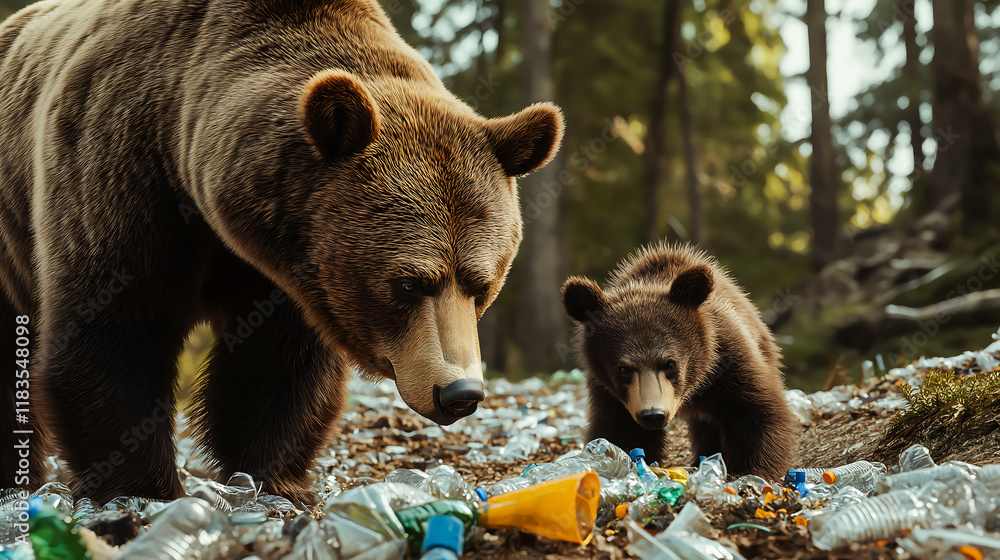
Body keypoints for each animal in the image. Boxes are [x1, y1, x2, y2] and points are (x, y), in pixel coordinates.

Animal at [0, 0, 563, 504]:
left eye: (480, 284)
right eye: (408, 283)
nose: (460, 392)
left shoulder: (291, 261)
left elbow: (279, 363)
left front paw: (273, 478)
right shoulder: (123, 170)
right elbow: (118, 325)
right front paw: (139, 487)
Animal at [561, 242, 798, 480]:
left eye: (669, 363)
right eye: (623, 368)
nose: (653, 415)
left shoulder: (728, 361)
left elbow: (757, 413)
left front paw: (749, 471)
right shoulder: (610, 393)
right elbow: (621, 432)